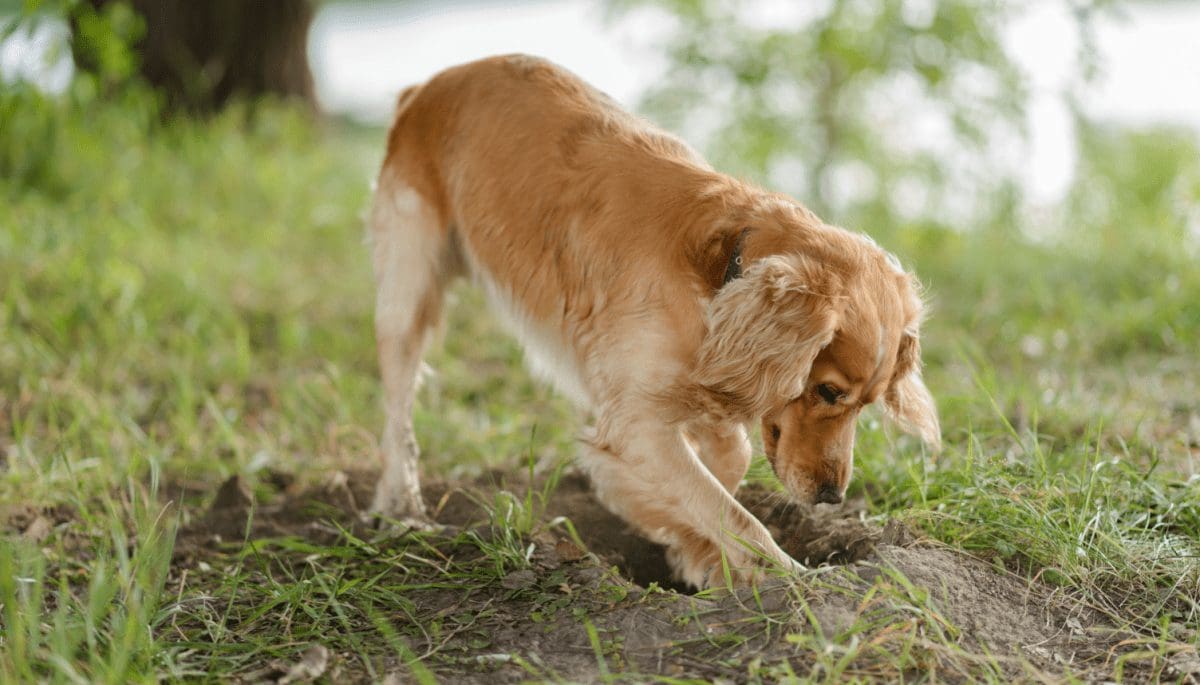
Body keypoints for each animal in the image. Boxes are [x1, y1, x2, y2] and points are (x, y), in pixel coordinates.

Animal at [364, 54, 936, 590]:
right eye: (828, 392)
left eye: (866, 404)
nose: (832, 496)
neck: (719, 273)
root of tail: (429, 85)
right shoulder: (636, 421)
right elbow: (732, 513)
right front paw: (784, 575)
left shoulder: (704, 384)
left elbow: (726, 466)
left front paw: (692, 551)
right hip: (406, 293)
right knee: (397, 417)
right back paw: (401, 508)